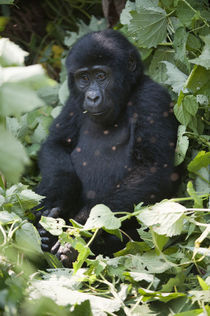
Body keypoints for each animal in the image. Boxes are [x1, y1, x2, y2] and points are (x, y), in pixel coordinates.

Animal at [35, 30, 179, 266]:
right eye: (84, 79)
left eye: (101, 76)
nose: (92, 97)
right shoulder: (74, 102)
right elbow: (55, 145)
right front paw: (57, 203)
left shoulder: (152, 98)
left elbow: (151, 168)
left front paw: (82, 232)